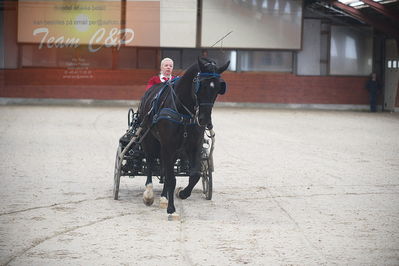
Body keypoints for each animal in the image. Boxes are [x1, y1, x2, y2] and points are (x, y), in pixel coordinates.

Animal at [139, 57, 230, 219]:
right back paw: (149, 194)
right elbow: (171, 178)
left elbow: (195, 174)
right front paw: (171, 209)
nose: (204, 119)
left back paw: (164, 197)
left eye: (218, 88)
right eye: (201, 85)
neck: (183, 111)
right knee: (150, 162)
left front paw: (182, 193)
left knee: (164, 169)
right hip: (149, 139)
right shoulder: (168, 144)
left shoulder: (194, 145)